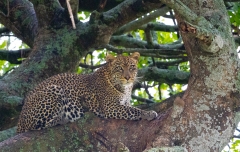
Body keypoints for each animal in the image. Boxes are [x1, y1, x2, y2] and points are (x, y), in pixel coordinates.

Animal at [17, 52, 158, 133]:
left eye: (132, 67)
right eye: (119, 68)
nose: (128, 77)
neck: (125, 88)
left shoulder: (124, 103)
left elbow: (132, 107)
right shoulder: (111, 107)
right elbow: (134, 110)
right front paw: (148, 113)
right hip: (54, 89)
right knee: (36, 126)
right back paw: (63, 118)